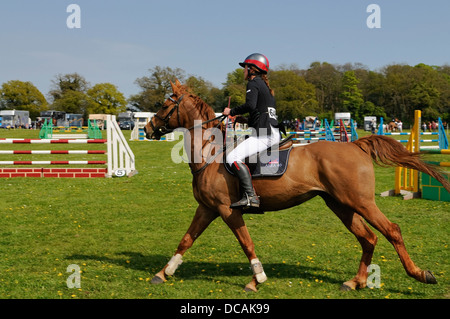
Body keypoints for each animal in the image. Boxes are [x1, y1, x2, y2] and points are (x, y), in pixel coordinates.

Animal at [146, 80, 448, 292]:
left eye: (164, 106)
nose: (148, 129)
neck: (210, 155)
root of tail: (355, 145)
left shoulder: (228, 210)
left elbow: (246, 243)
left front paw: (257, 278)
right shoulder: (207, 209)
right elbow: (186, 239)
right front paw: (163, 272)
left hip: (361, 202)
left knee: (391, 231)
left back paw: (420, 274)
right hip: (340, 205)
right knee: (368, 238)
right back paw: (355, 281)